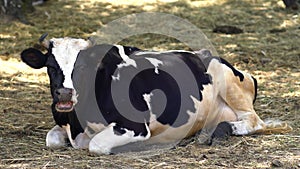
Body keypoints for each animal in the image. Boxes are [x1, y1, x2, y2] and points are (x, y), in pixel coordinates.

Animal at [19, 34, 292, 154]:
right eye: (50, 67)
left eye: (84, 66)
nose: (64, 94)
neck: (78, 122)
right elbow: (52, 140)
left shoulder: (134, 126)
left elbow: (96, 145)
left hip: (228, 80)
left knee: (254, 121)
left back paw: (220, 131)